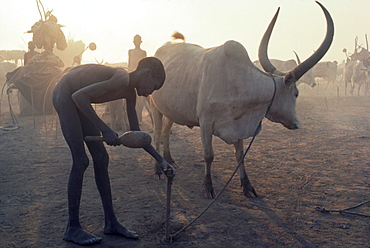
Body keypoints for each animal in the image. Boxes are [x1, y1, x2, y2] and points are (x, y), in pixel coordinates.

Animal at [150, 1, 332, 199]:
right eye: (296, 93)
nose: (297, 124)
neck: (238, 82)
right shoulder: (205, 123)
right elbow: (209, 156)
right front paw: (208, 187)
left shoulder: (238, 126)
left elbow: (240, 155)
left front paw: (247, 186)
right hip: (155, 107)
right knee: (158, 133)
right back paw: (158, 170)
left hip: (171, 110)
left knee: (166, 131)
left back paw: (169, 160)